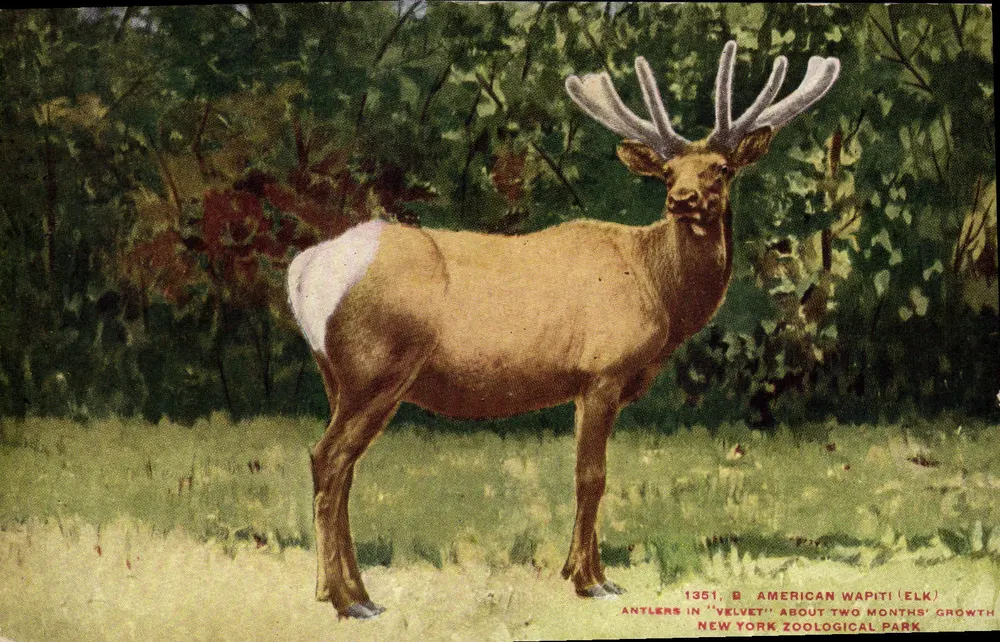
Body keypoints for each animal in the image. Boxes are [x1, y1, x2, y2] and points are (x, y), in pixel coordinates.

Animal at [286, 40, 839, 619]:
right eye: (668, 172)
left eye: (722, 167)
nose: (682, 199)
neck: (658, 290)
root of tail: (302, 271)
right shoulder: (603, 370)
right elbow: (592, 477)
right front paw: (592, 580)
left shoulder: (584, 384)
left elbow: (589, 474)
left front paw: (580, 570)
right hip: (377, 367)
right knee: (328, 459)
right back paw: (347, 599)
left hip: (336, 375)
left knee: (343, 469)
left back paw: (343, 589)